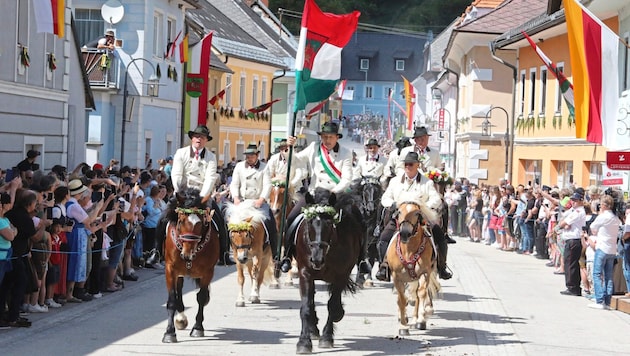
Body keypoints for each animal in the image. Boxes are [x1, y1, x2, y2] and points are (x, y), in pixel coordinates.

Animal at [160, 188, 220, 344]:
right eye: (181, 221)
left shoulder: (207, 272)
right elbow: (172, 300)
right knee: (179, 291)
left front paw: (198, 328)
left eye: (201, 223)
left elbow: (202, 297)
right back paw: (181, 319)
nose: (187, 254)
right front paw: (169, 333)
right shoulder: (170, 270)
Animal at [296, 189, 366, 354]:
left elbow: (333, 306)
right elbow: (306, 307)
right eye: (310, 222)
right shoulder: (305, 273)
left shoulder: (341, 275)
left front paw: (327, 337)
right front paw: (304, 342)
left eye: (329, 224)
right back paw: (313, 328)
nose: (316, 259)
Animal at [382, 200, 442, 336]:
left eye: (417, 213)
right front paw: (403, 326)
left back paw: (416, 318)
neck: (408, 250)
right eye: (399, 211)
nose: (405, 232)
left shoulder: (425, 273)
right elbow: (401, 299)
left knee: (417, 295)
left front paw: (420, 320)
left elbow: (421, 294)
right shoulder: (397, 277)